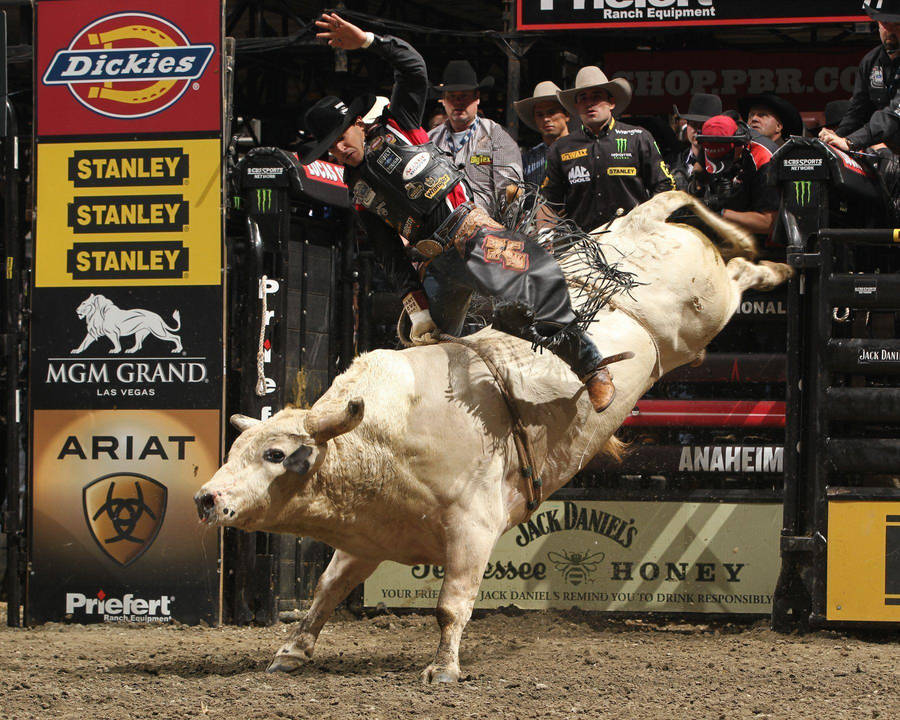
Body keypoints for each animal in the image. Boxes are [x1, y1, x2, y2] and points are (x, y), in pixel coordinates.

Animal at [195, 191, 788, 680]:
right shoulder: (367, 540)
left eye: (276, 453)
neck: (381, 438)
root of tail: (639, 221)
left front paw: (443, 670)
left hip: (709, 309)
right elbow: (325, 591)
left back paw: (774, 267)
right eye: (236, 449)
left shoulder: (473, 528)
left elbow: (450, 605)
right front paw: (290, 653)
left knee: (737, 273)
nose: (206, 498)